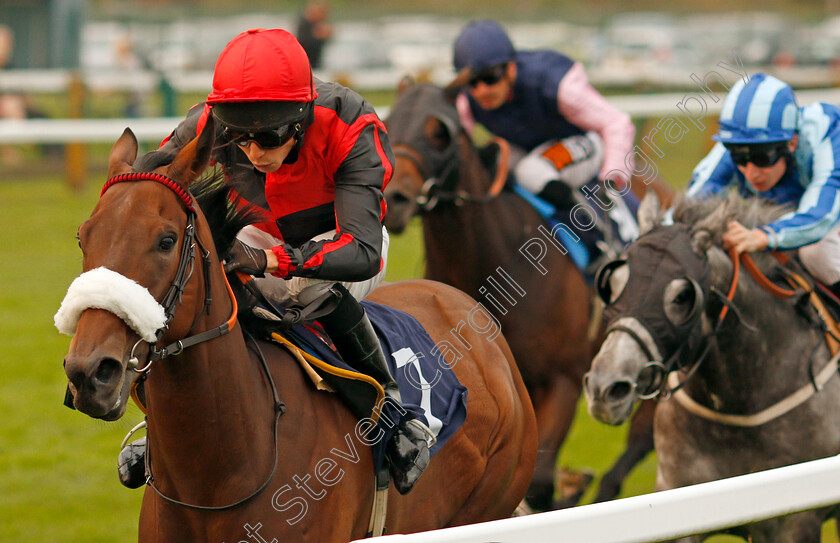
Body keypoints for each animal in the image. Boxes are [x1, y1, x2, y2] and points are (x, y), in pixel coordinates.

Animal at [380, 81, 656, 510]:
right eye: (390, 123)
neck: (501, 260)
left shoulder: (563, 381)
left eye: (440, 131)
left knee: (641, 439)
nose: (395, 198)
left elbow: (540, 482)